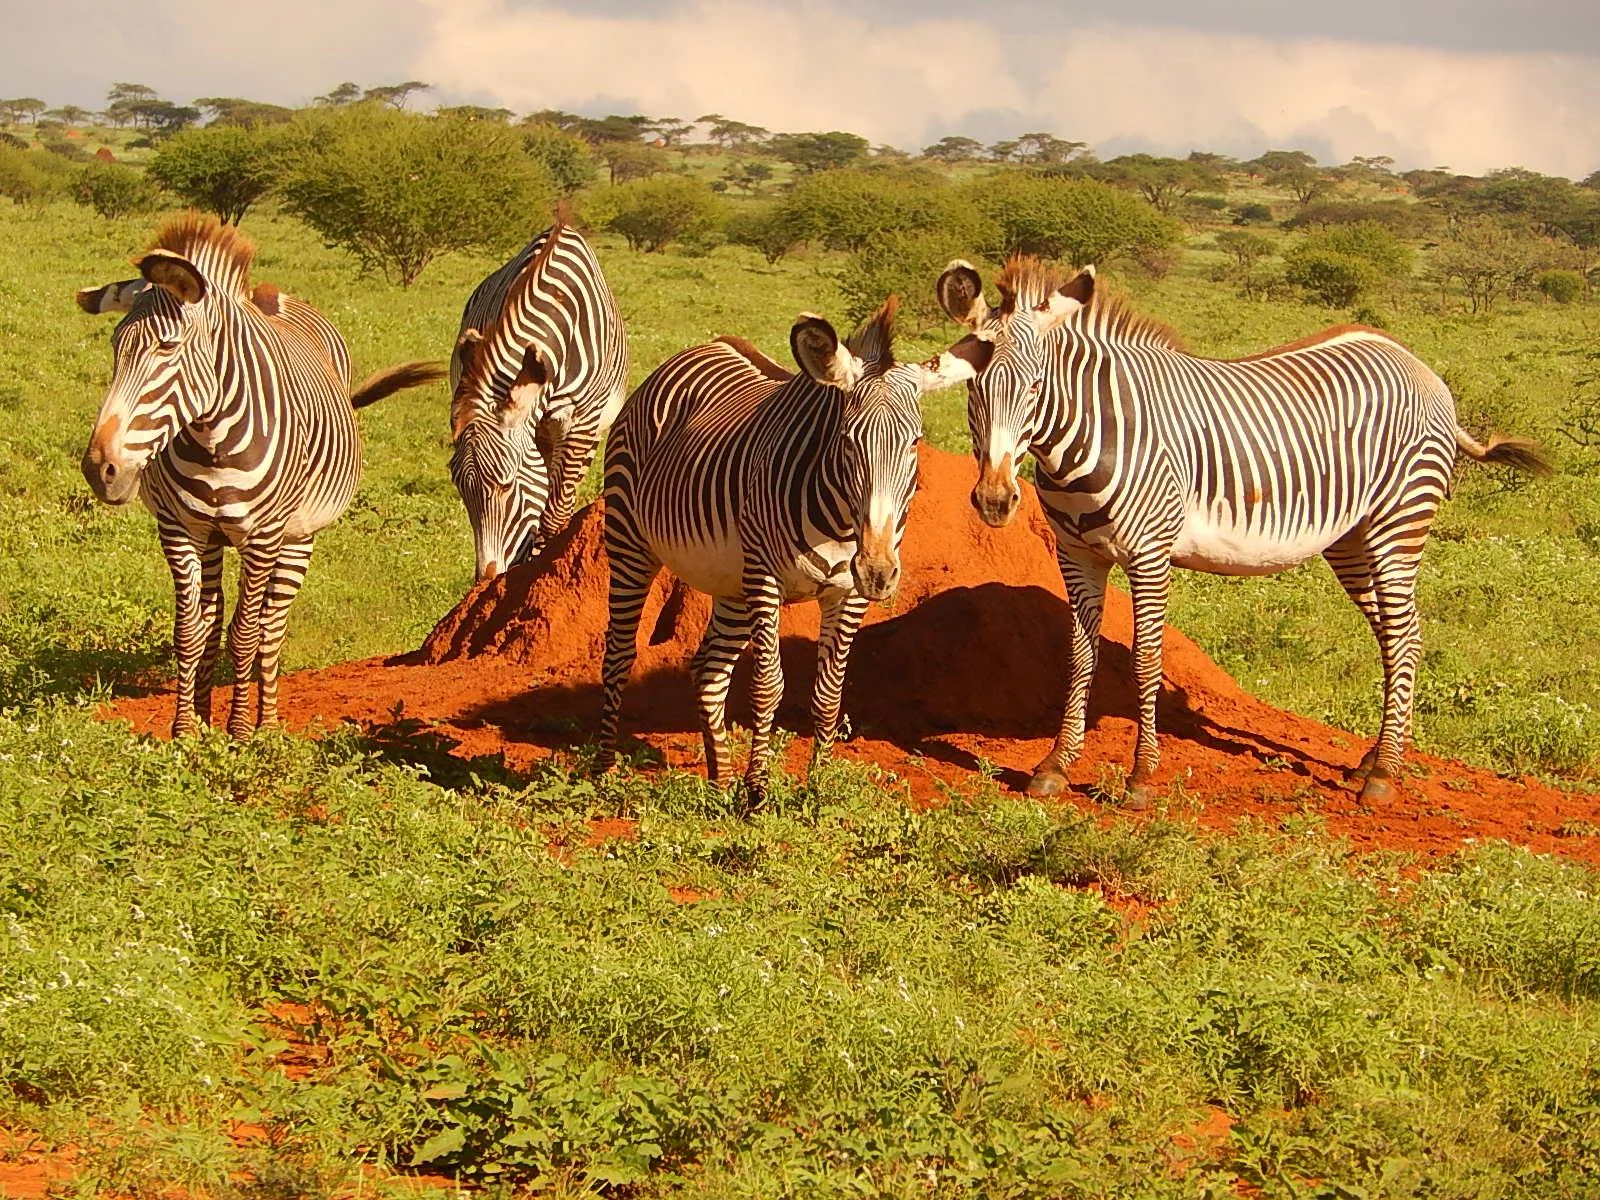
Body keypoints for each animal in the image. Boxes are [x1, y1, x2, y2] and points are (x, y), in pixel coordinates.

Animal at [79, 213, 445, 738]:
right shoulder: (178, 529)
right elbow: (190, 630)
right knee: (213, 619)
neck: (210, 438)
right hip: (213, 538)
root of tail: (273, 293)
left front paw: (237, 732)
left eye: (168, 348)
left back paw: (266, 723)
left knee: (271, 625)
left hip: (298, 536)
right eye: (115, 348)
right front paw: (185, 730)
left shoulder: (263, 535)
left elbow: (247, 633)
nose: (100, 469)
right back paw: (206, 713)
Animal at [597, 298, 987, 807]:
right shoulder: (766, 579)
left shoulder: (847, 594)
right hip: (631, 542)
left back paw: (719, 783)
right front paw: (757, 792)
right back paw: (604, 772)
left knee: (709, 671)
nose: (879, 572)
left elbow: (829, 693)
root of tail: (703, 345)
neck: (842, 522)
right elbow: (768, 686)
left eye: (915, 442)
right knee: (619, 654)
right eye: (847, 442)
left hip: (732, 582)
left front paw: (816, 787)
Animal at [936, 256, 1550, 808]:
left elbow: (1147, 660)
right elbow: (1079, 657)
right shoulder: (1077, 553)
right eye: (974, 388)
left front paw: (1140, 778)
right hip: (1351, 540)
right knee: (1396, 637)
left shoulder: (1150, 552)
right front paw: (1055, 767)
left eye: (1037, 387)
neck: (1092, 435)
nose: (995, 500)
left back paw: (1382, 780)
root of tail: (1415, 361)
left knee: (1403, 634)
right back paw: (1374, 760)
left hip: (1399, 522)